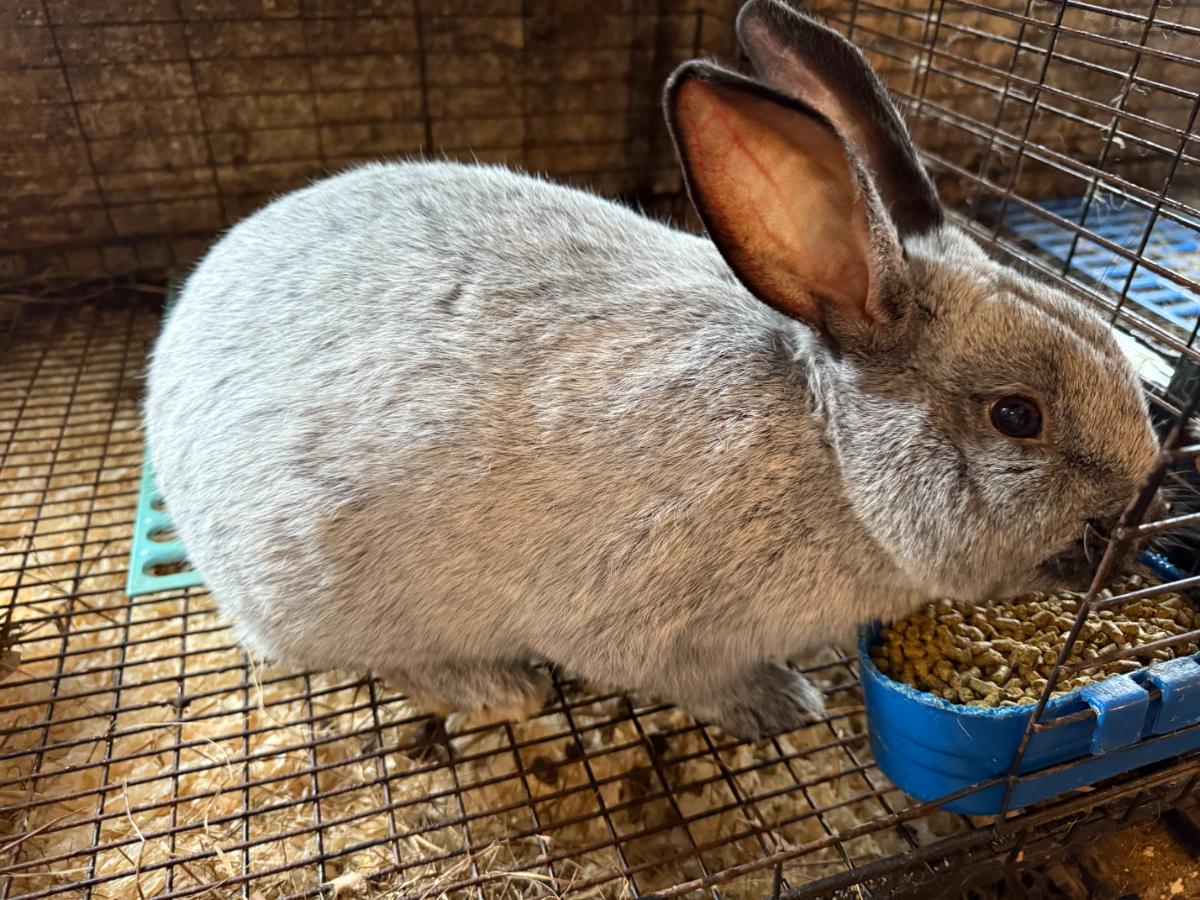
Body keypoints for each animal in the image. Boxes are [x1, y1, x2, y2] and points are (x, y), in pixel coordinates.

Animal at [143, 0, 1160, 739]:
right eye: (1016, 416)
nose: (1134, 521)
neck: (831, 453)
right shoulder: (653, 624)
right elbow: (688, 678)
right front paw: (781, 705)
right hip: (323, 591)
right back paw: (499, 688)